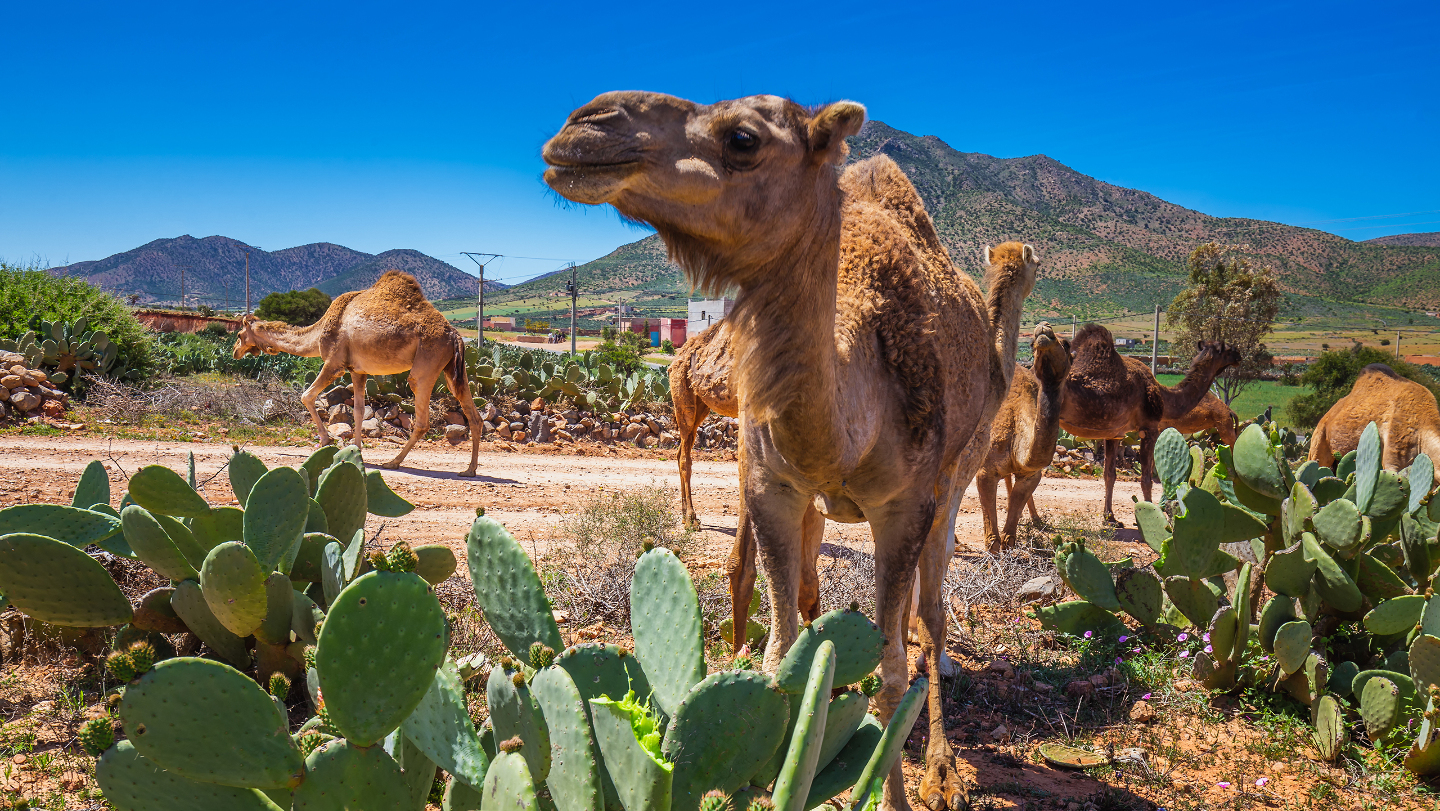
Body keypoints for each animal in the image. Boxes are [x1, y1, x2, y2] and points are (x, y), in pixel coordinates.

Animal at [232, 270, 482, 476]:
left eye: (239, 335)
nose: (235, 352)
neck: (319, 331)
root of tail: (454, 334)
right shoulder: (358, 370)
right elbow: (360, 411)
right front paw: (356, 450)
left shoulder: (335, 363)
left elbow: (307, 396)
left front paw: (326, 440)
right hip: (452, 369)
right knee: (471, 412)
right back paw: (469, 469)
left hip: (427, 361)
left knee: (421, 417)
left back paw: (394, 462)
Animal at [544, 92, 1037, 811]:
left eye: (743, 139)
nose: (582, 125)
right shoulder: (776, 487)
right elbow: (781, 656)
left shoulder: (911, 501)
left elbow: (893, 667)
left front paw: (898, 787)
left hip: (946, 476)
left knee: (925, 612)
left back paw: (941, 762)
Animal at [976, 323, 1071, 553]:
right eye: (1031, 344)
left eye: (1067, 344)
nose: (1043, 328)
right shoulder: (985, 471)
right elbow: (993, 543)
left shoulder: (1031, 474)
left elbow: (1009, 537)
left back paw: (1036, 520)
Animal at [1058, 323, 1239, 523]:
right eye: (1228, 348)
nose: (1239, 355)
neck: (1165, 397)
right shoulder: (1150, 428)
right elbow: (1146, 478)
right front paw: (1151, 515)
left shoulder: (1114, 434)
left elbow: (1109, 474)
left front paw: (1110, 517)